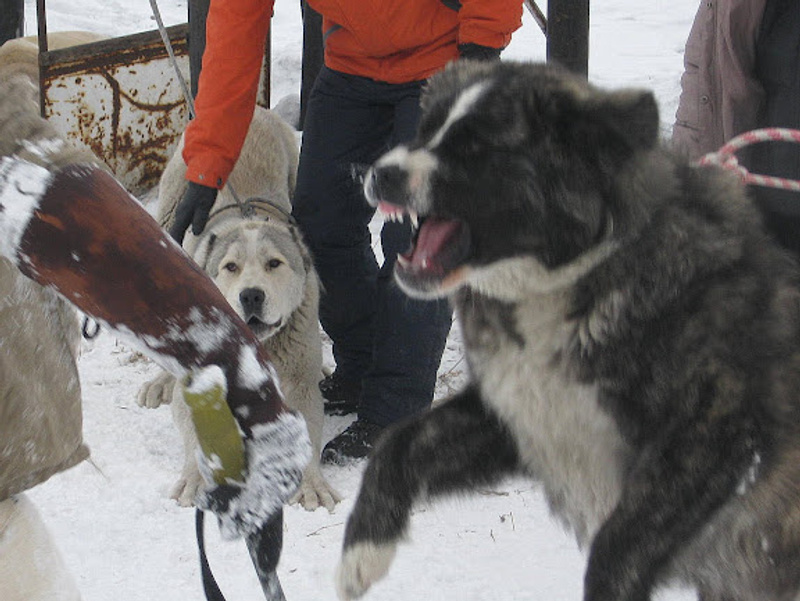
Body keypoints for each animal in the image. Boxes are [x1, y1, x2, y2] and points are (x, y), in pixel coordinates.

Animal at [138, 105, 340, 512]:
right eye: (230, 267)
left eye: (274, 264)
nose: (251, 296)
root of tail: (259, 109)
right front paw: (196, 478)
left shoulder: (300, 381)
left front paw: (311, 483)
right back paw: (160, 381)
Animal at [336, 60, 800, 601]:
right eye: (425, 131)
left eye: (476, 146)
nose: (380, 173)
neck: (577, 276)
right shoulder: (523, 415)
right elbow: (398, 445)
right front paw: (362, 551)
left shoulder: (714, 437)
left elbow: (617, 549)